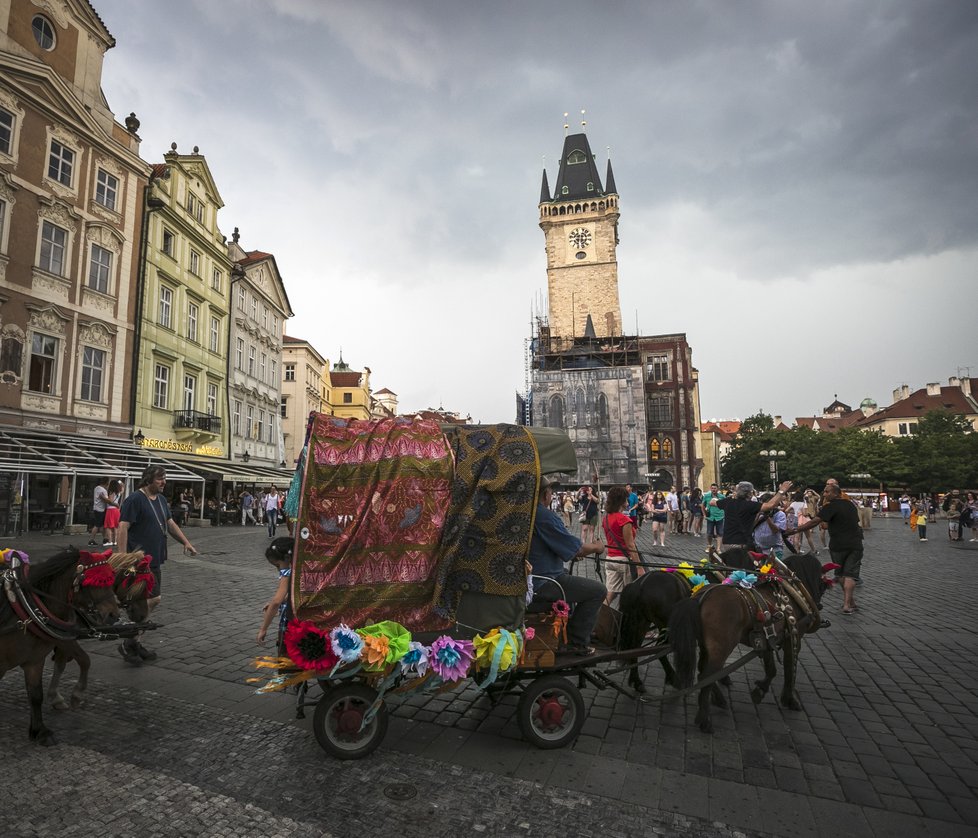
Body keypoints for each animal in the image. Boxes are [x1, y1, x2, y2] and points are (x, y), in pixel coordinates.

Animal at [0, 548, 120, 744]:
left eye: (111, 579)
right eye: (96, 582)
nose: (113, 615)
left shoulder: (35, 660)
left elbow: (36, 695)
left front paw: (40, 731)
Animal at [664, 552, 824, 736]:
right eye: (821, 578)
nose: (819, 604)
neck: (790, 594)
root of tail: (699, 598)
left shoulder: (768, 639)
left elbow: (771, 669)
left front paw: (760, 690)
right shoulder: (793, 636)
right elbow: (790, 670)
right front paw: (790, 700)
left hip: (706, 645)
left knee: (704, 671)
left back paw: (718, 701)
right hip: (722, 648)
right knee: (707, 676)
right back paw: (705, 719)